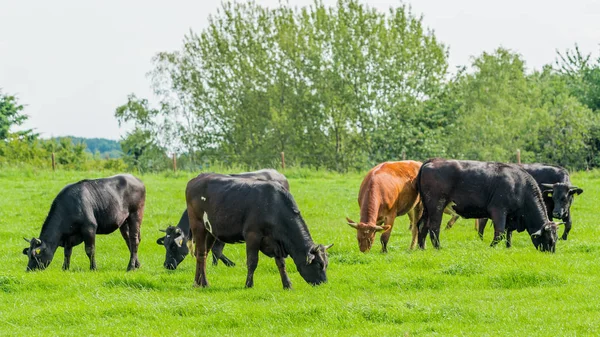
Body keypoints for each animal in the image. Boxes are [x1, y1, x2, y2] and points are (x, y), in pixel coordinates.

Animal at [156, 169, 290, 270]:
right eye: (165, 245)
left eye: (173, 246)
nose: (167, 265)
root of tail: (277, 173)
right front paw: (215, 265)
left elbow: (216, 250)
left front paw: (227, 264)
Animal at [186, 173, 332, 288]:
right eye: (318, 264)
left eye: (326, 264)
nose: (324, 283)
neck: (274, 206)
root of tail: (197, 178)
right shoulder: (252, 236)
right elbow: (252, 261)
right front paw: (248, 284)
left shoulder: (276, 241)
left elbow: (281, 263)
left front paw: (287, 284)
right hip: (198, 225)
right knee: (201, 254)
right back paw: (204, 283)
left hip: (211, 232)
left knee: (203, 254)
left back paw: (197, 283)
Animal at [418, 159, 556, 251]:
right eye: (549, 240)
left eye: (555, 239)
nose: (551, 253)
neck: (519, 184)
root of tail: (434, 160)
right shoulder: (498, 210)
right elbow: (500, 233)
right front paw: (491, 247)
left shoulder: (510, 217)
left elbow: (508, 234)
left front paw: (508, 248)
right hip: (436, 206)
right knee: (434, 227)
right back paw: (438, 248)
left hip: (426, 208)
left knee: (422, 225)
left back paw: (421, 248)